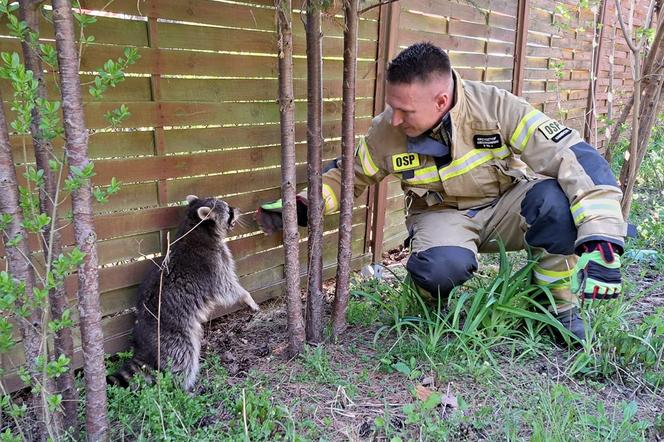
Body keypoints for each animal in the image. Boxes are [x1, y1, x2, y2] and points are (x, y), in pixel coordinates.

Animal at [107, 195, 260, 388]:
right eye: (228, 210)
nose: (238, 209)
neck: (196, 227)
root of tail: (144, 342)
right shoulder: (214, 263)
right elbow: (226, 287)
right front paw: (247, 297)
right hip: (172, 335)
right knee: (183, 357)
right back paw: (184, 386)